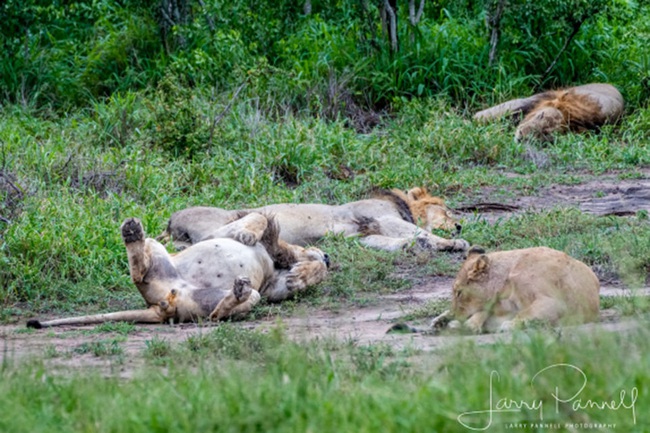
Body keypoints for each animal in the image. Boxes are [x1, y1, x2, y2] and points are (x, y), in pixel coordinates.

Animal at [26, 212, 330, 328]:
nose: (328, 256)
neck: (277, 256)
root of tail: (162, 305)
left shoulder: (269, 286)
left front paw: (301, 276)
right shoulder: (215, 232)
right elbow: (258, 218)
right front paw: (247, 236)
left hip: (214, 299)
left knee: (217, 314)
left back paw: (238, 292)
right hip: (158, 247)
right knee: (138, 269)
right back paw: (132, 231)